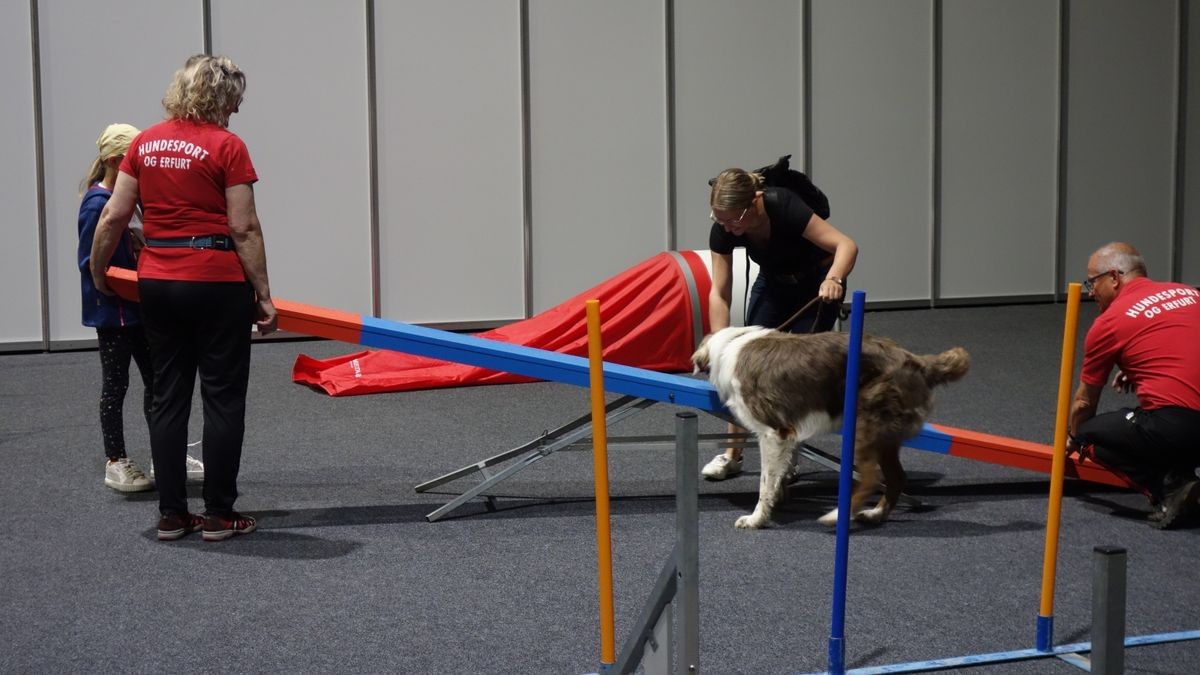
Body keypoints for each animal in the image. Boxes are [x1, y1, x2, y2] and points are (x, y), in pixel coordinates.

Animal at [696, 324, 964, 526]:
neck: (729, 344)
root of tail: (918, 361)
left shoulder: (773, 432)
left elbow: (765, 482)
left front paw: (756, 519)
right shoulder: (788, 435)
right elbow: (779, 474)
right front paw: (779, 498)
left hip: (864, 424)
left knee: (871, 479)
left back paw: (837, 516)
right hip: (884, 437)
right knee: (896, 478)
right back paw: (874, 514)